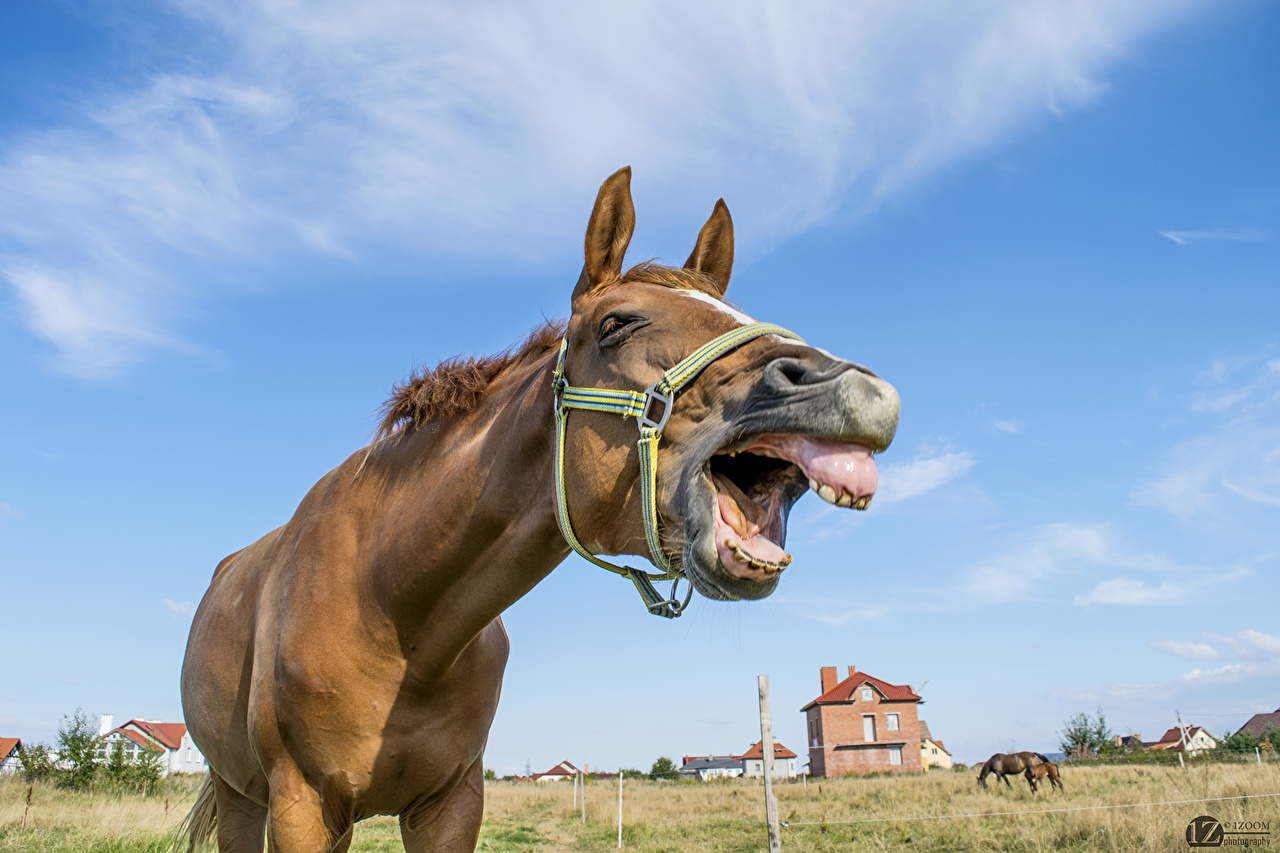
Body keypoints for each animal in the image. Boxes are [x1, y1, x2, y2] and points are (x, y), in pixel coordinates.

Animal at [177, 167, 900, 853]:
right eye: (617, 323)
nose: (855, 390)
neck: (394, 612)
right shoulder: (300, 806)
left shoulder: (450, 805)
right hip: (242, 797)